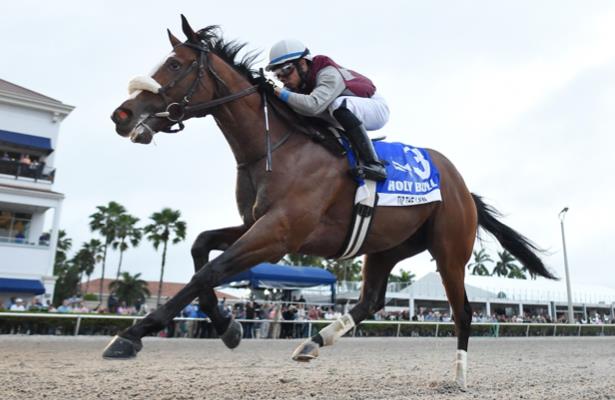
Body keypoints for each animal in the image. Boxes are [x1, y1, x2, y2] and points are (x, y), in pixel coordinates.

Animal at [106, 16, 560, 390]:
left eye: (175, 65)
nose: (121, 115)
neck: (279, 146)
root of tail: (463, 187)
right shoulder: (257, 224)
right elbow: (201, 247)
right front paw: (228, 326)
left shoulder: (279, 234)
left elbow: (210, 271)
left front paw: (130, 336)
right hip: (386, 247)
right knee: (373, 299)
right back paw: (313, 342)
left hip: (450, 250)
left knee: (462, 311)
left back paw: (459, 376)